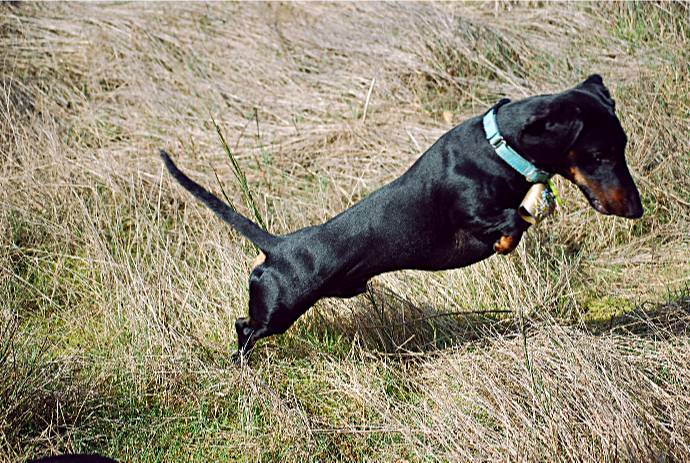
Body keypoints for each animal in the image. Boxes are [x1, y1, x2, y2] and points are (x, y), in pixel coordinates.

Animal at [160, 74, 640, 358]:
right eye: (599, 154)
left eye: (623, 146)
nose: (635, 209)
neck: (498, 145)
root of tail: (277, 246)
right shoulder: (475, 214)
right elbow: (510, 222)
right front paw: (519, 224)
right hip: (277, 310)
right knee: (244, 327)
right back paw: (241, 363)